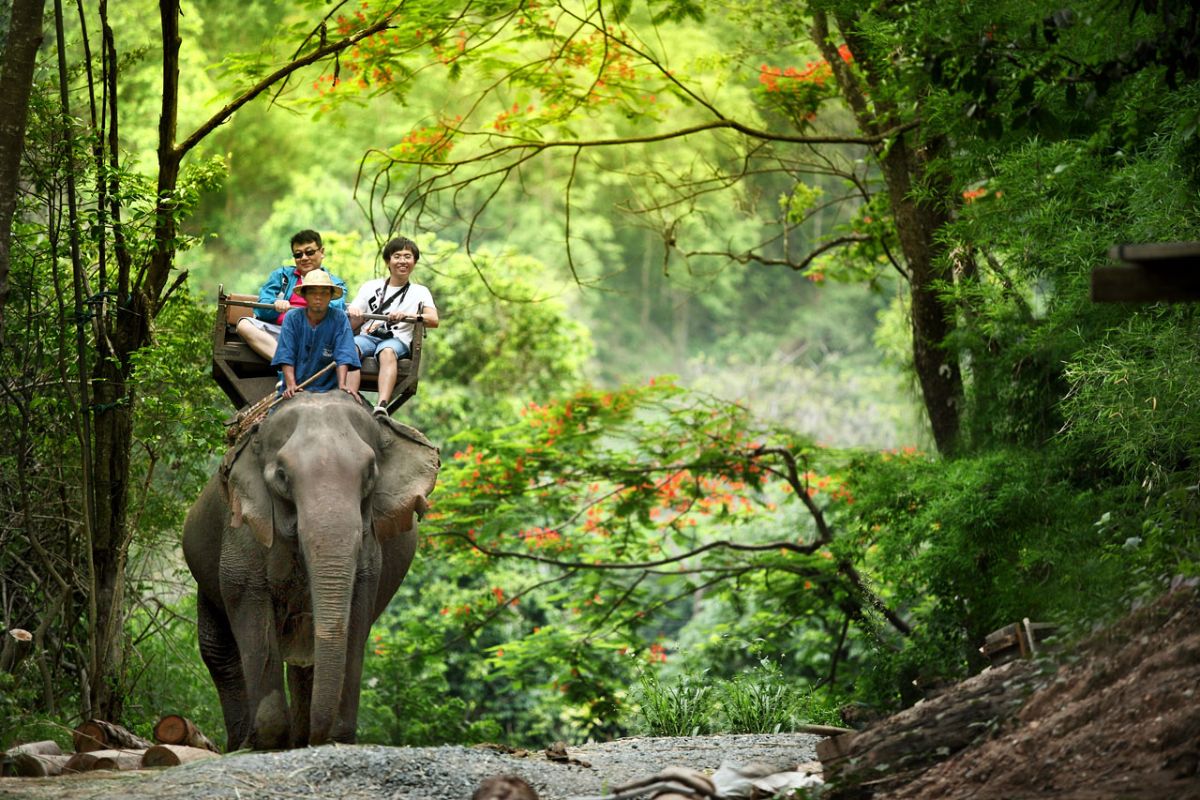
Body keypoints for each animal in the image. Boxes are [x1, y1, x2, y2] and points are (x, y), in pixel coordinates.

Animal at [183, 391, 439, 750]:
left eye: (370, 474)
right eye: (282, 476)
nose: (320, 737)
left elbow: (356, 615)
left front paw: (336, 738)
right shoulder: (243, 528)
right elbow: (250, 604)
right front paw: (267, 740)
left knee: (304, 662)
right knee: (219, 650)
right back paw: (244, 743)